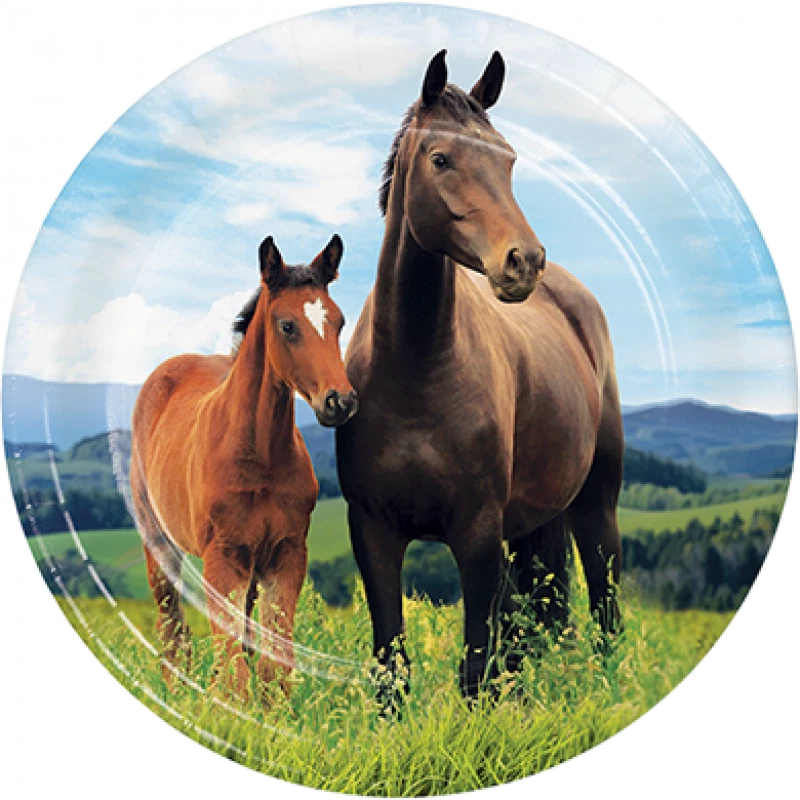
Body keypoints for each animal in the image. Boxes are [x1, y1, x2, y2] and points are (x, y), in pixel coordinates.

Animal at [131, 234, 358, 702]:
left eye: (340, 321)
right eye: (286, 325)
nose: (339, 402)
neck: (260, 456)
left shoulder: (286, 554)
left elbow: (274, 665)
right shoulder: (223, 557)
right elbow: (233, 666)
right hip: (159, 543)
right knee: (173, 631)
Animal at [335, 50, 623, 708]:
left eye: (508, 159)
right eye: (442, 159)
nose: (523, 261)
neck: (416, 370)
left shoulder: (478, 533)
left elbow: (477, 673)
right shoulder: (373, 531)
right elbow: (394, 672)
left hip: (597, 507)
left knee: (605, 611)